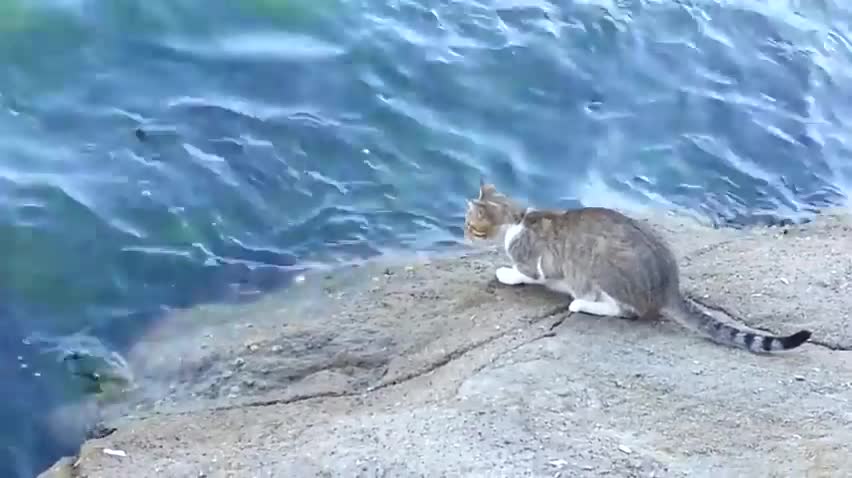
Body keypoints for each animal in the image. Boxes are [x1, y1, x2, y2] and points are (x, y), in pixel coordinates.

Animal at [466, 181, 812, 352]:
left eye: (470, 224)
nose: (463, 230)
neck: (518, 221)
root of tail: (669, 284)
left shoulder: (539, 262)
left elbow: (526, 273)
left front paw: (507, 272)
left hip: (604, 266)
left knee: (627, 311)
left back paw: (583, 304)